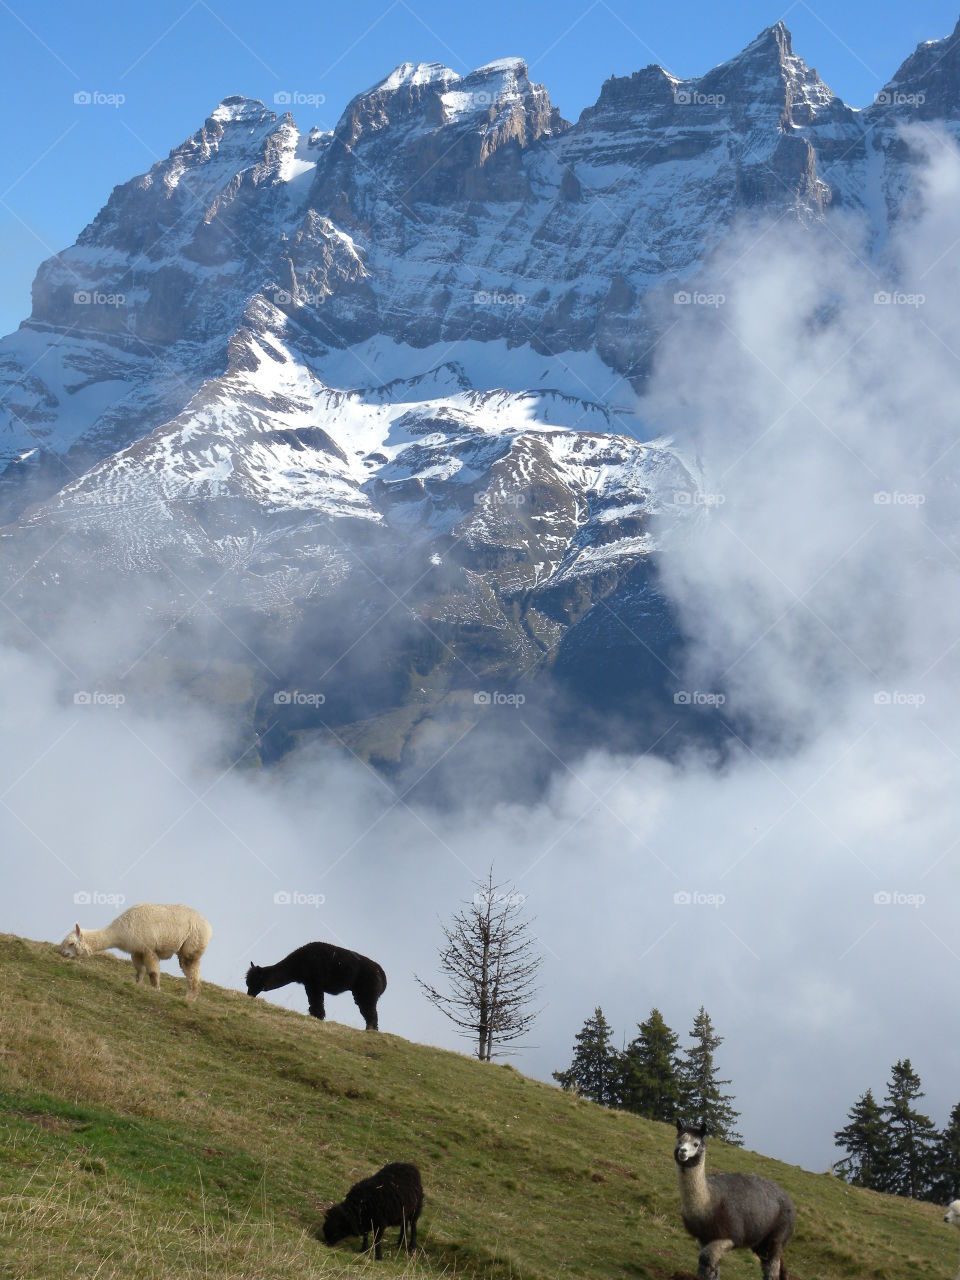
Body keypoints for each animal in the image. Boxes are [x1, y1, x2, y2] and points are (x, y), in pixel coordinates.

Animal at [244, 942, 386, 1029]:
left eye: (254, 981)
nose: (249, 994)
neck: (298, 964)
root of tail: (382, 975)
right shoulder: (310, 983)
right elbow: (314, 1001)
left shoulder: (314, 982)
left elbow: (316, 1001)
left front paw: (317, 1016)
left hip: (366, 991)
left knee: (369, 1011)